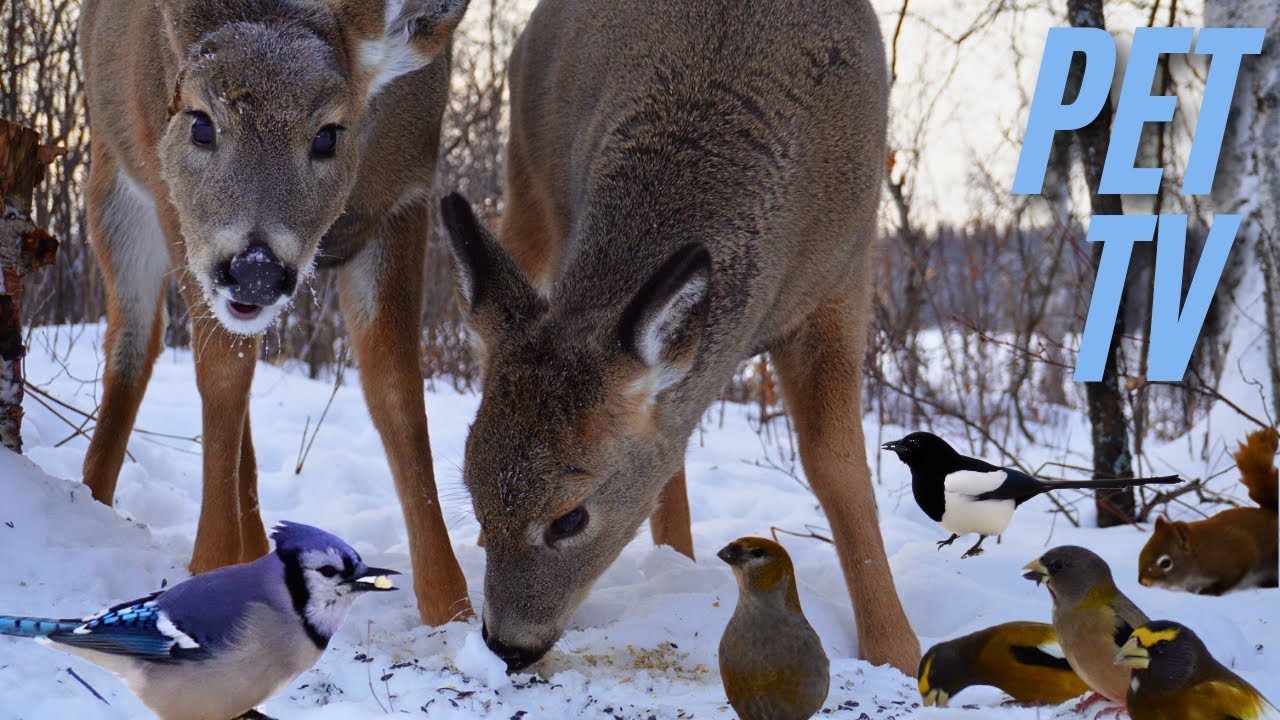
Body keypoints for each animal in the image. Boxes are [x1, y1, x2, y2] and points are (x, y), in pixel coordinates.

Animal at [77, 0, 472, 626]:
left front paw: (452, 608)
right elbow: (222, 374)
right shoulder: (174, 204)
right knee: (134, 342)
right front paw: (210, 564)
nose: (257, 268)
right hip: (114, 184)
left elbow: (397, 389)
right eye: (200, 122)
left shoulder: (405, 195)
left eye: (329, 135)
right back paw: (91, 495)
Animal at [439, 0, 920, 674]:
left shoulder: (843, 278)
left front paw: (896, 651)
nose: (507, 644)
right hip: (528, 177)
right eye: (473, 489)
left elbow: (836, 463)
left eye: (571, 518)